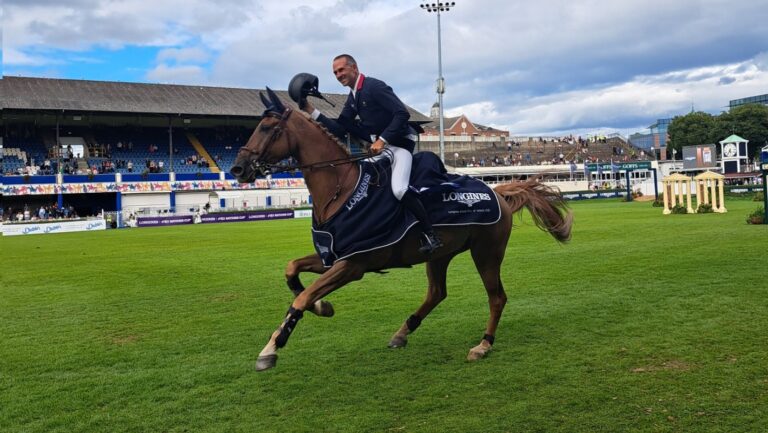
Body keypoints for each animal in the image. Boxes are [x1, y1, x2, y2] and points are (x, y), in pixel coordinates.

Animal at [228, 88, 568, 372]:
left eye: (267, 128)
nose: (238, 168)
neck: (342, 191)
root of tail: (498, 192)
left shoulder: (352, 265)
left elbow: (300, 299)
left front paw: (271, 348)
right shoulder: (333, 257)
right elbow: (292, 271)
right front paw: (321, 307)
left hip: (487, 253)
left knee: (496, 298)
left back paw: (483, 345)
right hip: (440, 255)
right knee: (437, 293)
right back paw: (403, 332)